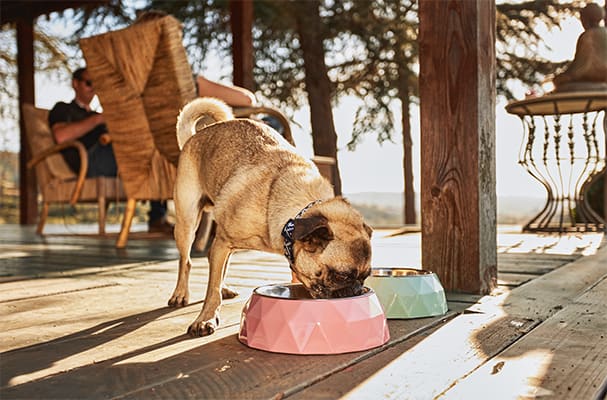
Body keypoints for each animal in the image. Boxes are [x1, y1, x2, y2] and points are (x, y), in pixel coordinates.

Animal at [169, 97, 372, 338]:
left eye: (365, 276)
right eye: (342, 276)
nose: (358, 290)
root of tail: (194, 136)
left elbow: (217, 278)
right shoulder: (222, 242)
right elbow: (211, 292)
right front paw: (206, 318)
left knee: (218, 268)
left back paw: (223, 286)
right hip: (187, 221)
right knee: (186, 261)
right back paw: (180, 293)